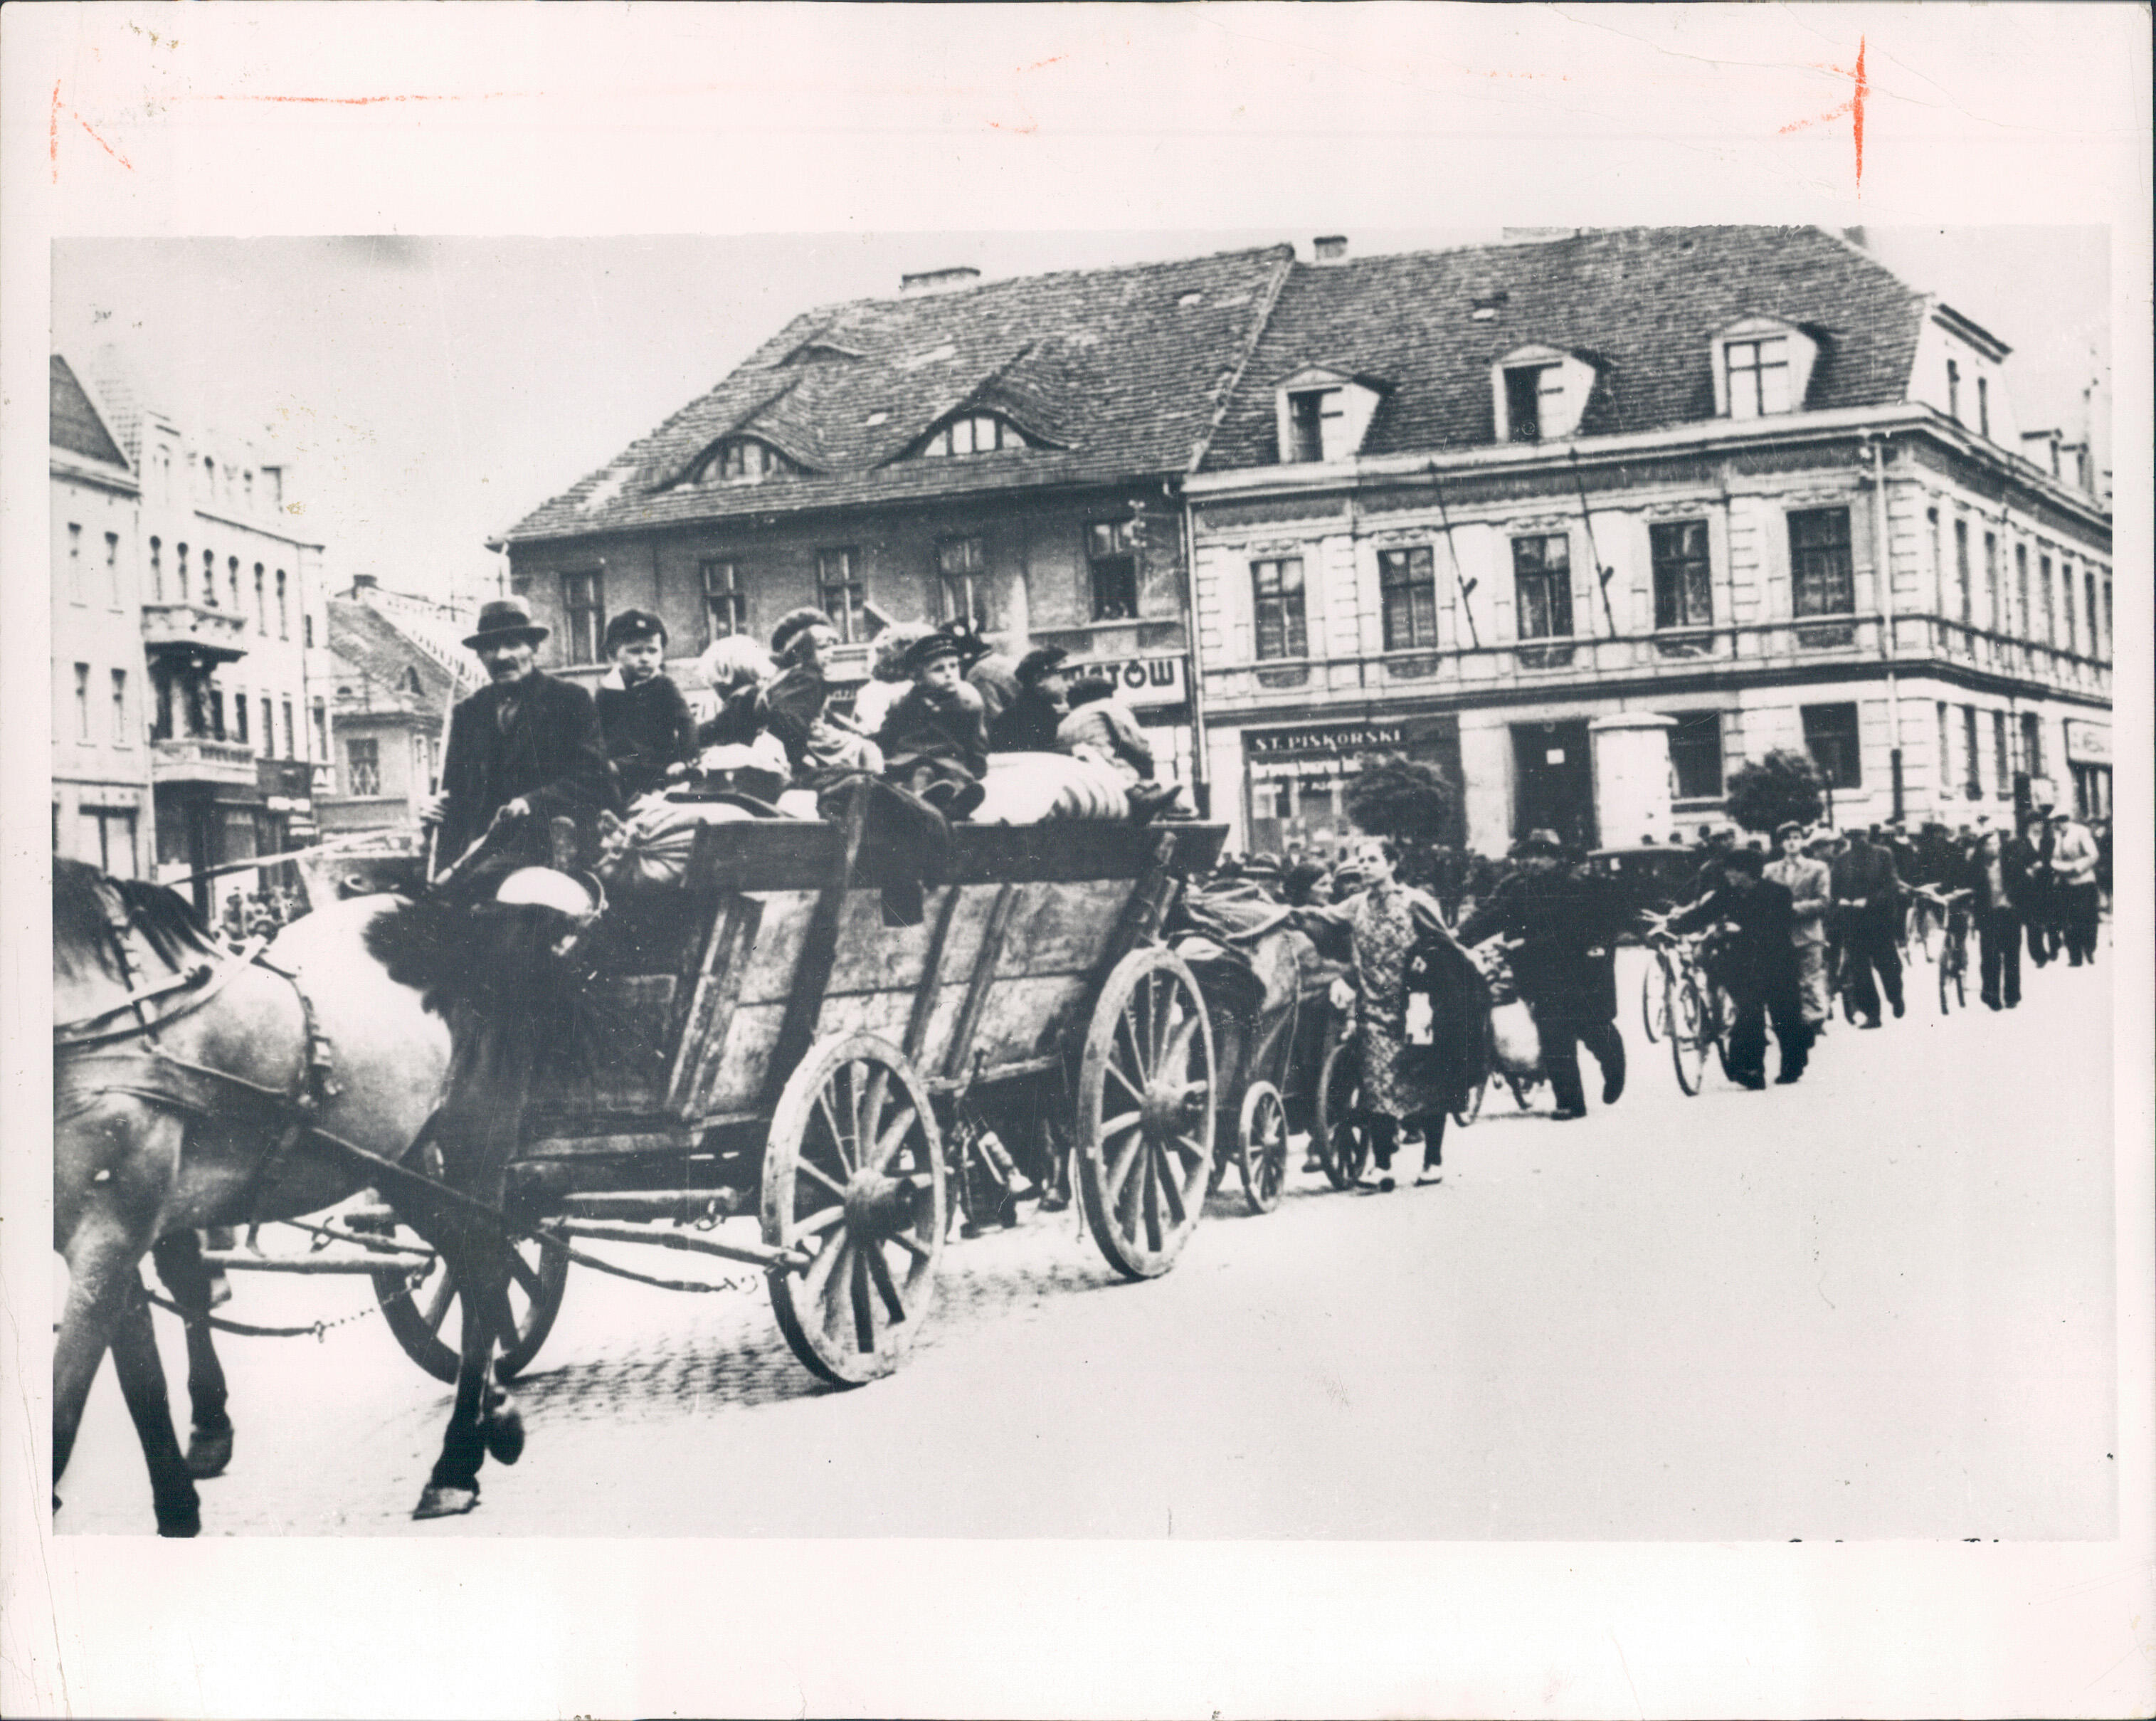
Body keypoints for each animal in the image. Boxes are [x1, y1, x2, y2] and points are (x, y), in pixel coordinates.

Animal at [52, 871, 539, 1527]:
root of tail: (455, 914)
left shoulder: (110, 1235)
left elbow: (67, 1407)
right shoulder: (119, 1235)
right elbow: (141, 1375)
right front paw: (180, 1501)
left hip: (473, 1146)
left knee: (486, 1266)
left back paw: (456, 1464)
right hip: (398, 1163)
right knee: (470, 1262)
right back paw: (496, 1417)